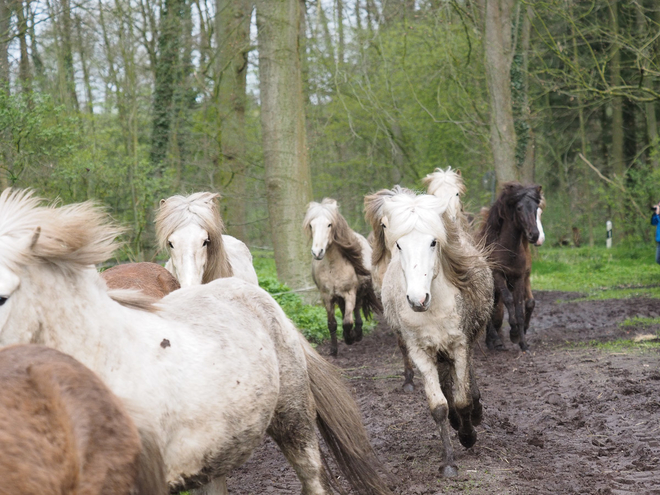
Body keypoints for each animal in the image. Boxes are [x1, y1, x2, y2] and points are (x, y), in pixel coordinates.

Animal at [300, 200, 378, 358]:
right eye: (311, 225)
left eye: (329, 224)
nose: (317, 252)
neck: (333, 267)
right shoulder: (327, 297)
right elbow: (332, 323)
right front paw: (334, 349)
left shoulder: (349, 293)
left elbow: (348, 321)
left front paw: (350, 338)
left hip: (358, 292)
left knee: (356, 309)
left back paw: (357, 334)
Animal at [364, 188, 492, 478]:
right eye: (400, 245)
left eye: (434, 242)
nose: (417, 299)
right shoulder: (420, 351)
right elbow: (439, 406)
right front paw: (449, 462)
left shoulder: (459, 344)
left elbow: (463, 399)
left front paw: (468, 436)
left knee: (467, 381)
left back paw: (474, 413)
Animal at [476, 183, 544, 352]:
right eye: (519, 208)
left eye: (536, 208)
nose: (534, 235)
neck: (509, 251)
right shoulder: (498, 275)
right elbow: (508, 299)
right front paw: (513, 331)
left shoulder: (519, 278)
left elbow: (519, 308)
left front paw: (522, 342)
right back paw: (495, 340)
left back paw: (493, 341)